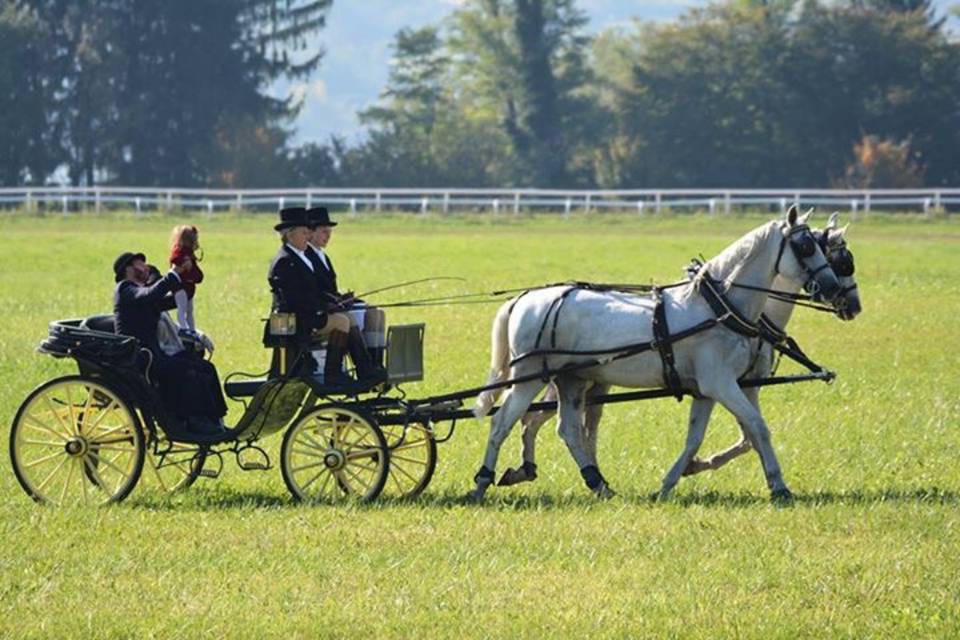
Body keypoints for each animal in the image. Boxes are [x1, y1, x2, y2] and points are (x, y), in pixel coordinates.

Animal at [470, 208, 840, 502]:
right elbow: (757, 427)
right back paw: (482, 482)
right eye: (806, 246)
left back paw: (599, 483)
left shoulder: (707, 389)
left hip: (571, 379)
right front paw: (779, 486)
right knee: (503, 423)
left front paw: (669, 483)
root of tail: (522, 299)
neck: (717, 307)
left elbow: (696, 438)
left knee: (569, 430)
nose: (835, 288)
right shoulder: (721, 384)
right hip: (528, 377)